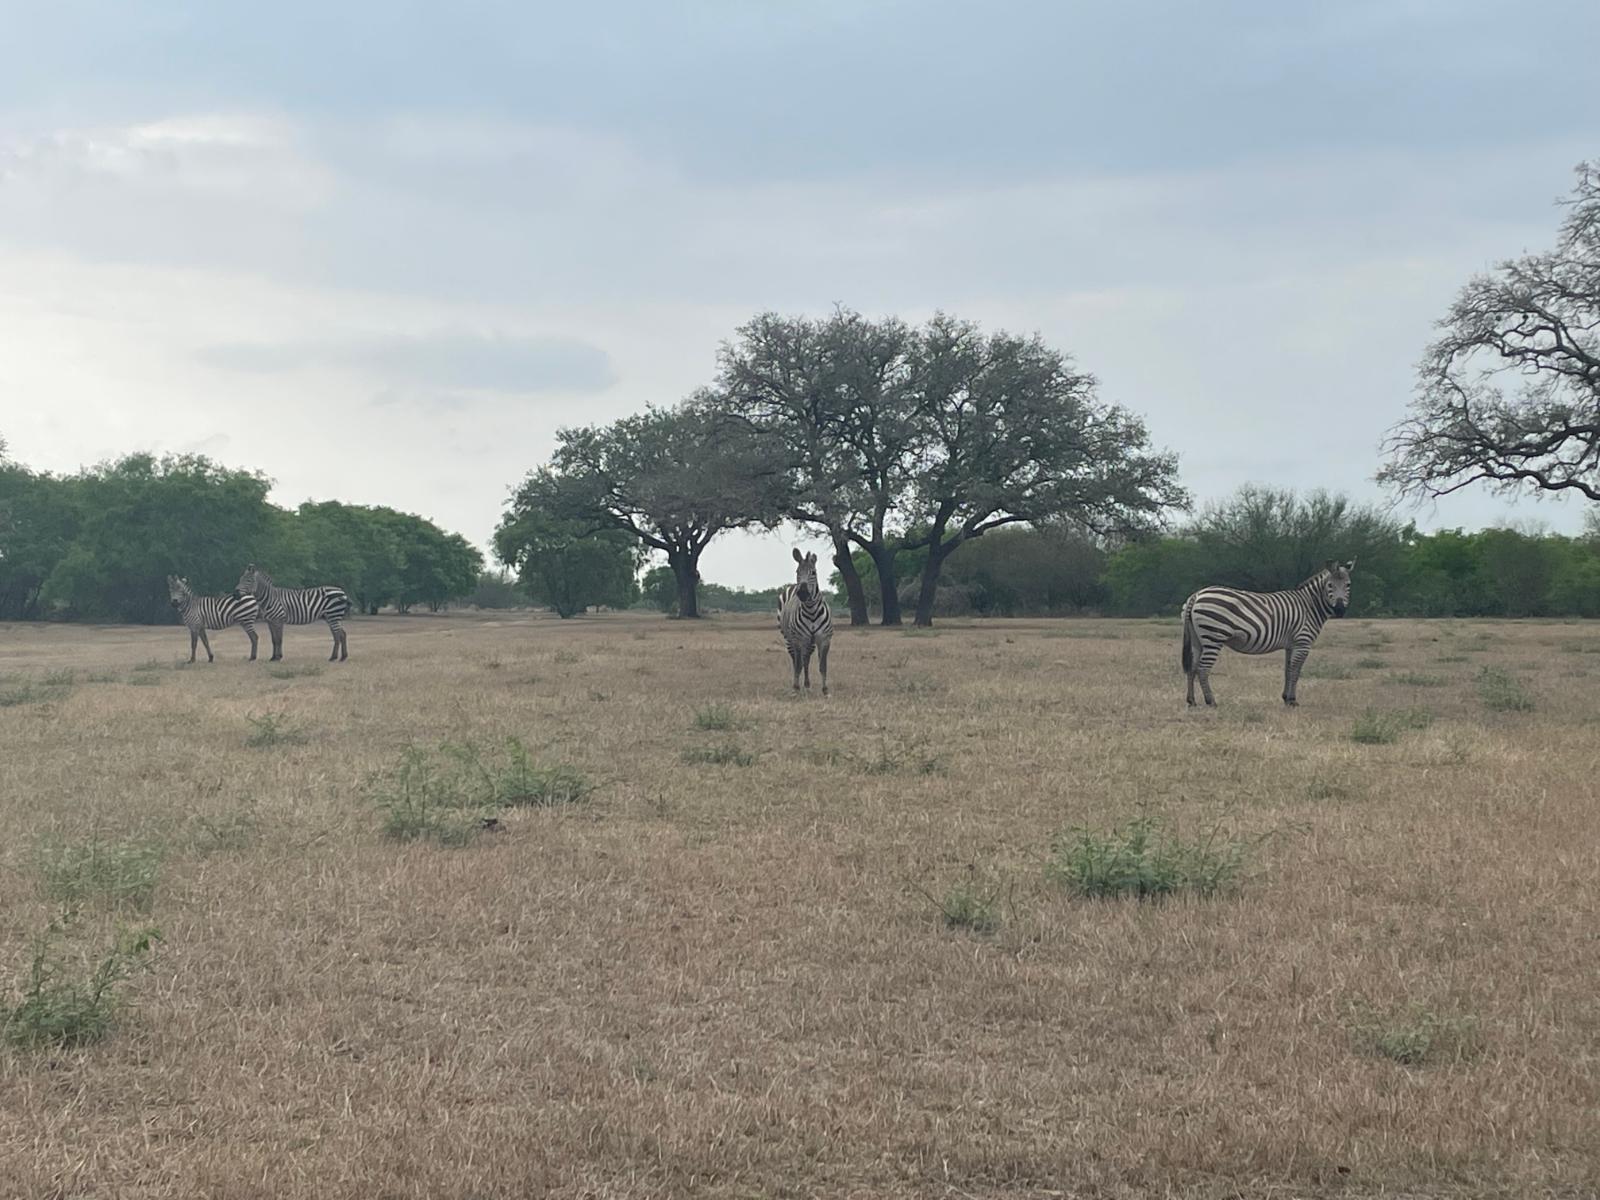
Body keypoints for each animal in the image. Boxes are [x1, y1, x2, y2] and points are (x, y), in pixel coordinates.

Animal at [778, 548, 833, 695]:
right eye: (797, 572)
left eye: (813, 572)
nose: (802, 593)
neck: (811, 610)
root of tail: (791, 586)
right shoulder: (798, 639)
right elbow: (797, 665)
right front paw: (796, 688)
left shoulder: (824, 638)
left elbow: (823, 666)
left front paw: (825, 690)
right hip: (789, 638)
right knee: (796, 660)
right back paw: (797, 684)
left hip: (810, 642)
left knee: (806, 659)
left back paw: (807, 684)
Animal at [1182, 559, 1355, 707]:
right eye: (1330, 585)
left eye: (1348, 585)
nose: (1340, 610)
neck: (1309, 606)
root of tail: (1196, 595)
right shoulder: (1303, 642)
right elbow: (1296, 671)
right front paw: (1292, 700)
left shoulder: (1291, 645)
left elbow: (1288, 670)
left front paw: (1286, 698)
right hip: (1214, 637)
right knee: (1203, 669)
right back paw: (1211, 701)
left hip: (1198, 640)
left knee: (1192, 667)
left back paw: (1192, 701)